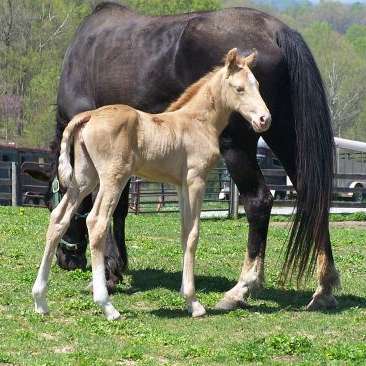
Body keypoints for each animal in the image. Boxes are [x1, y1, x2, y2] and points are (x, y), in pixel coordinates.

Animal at [32, 49, 272, 320]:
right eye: (239, 88)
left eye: (258, 85)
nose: (264, 119)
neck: (197, 122)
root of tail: (88, 116)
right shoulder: (196, 180)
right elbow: (193, 234)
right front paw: (194, 303)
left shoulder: (180, 185)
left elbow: (184, 233)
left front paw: (188, 298)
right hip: (112, 178)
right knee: (96, 221)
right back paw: (107, 305)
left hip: (84, 179)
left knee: (59, 219)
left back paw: (40, 300)